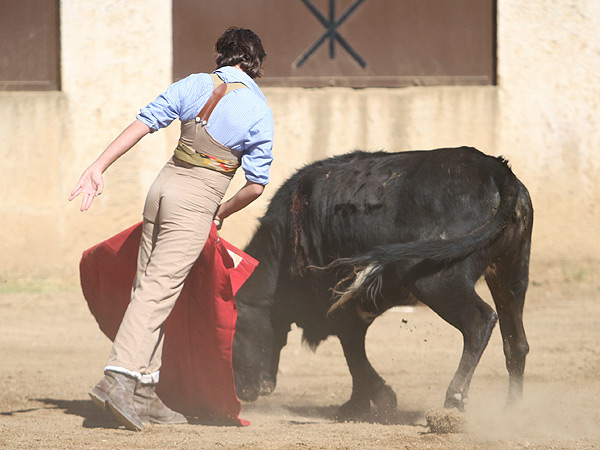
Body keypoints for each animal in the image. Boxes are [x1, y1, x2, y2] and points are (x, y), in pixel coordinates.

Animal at [232, 147, 532, 418]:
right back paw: (512, 410)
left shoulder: (339, 304)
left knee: (479, 321)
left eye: (233, 333)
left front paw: (369, 401)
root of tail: (497, 171)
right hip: (511, 273)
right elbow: (354, 350)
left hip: (436, 281)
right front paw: (365, 402)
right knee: (515, 341)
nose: (244, 392)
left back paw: (453, 401)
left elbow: (353, 351)